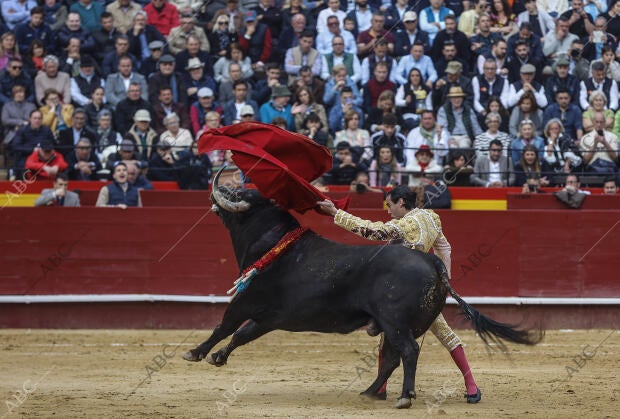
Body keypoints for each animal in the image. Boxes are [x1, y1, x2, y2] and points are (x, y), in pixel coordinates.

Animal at [184, 176, 544, 406]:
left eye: (242, 195)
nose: (219, 189)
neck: (275, 243)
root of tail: (433, 263)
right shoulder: (270, 317)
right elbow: (242, 335)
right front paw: (218, 357)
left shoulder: (246, 301)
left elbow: (224, 325)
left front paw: (196, 352)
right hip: (402, 322)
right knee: (396, 356)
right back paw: (373, 391)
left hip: (395, 321)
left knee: (408, 352)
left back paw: (404, 397)